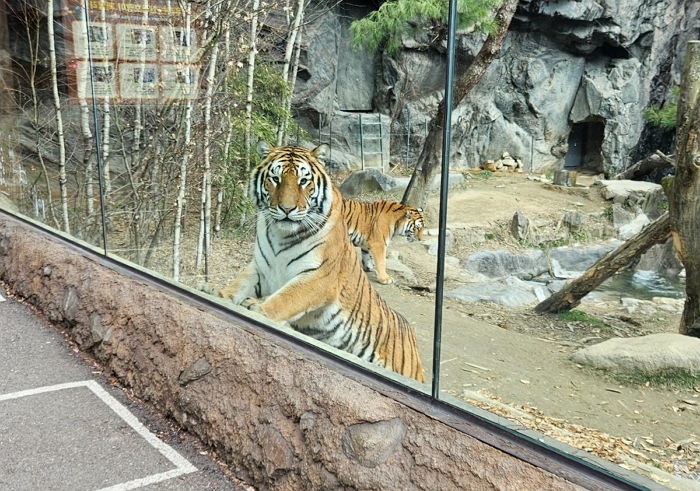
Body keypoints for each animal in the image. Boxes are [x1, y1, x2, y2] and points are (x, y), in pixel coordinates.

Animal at [219, 142, 426, 384]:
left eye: (303, 181)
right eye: (275, 179)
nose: (286, 209)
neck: (280, 234)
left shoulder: (320, 275)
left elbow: (286, 298)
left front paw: (256, 307)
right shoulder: (263, 268)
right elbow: (241, 284)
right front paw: (218, 294)